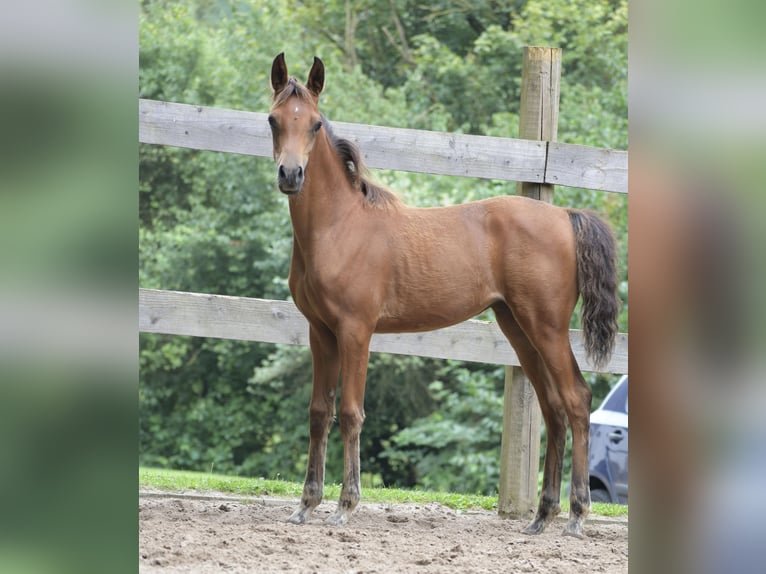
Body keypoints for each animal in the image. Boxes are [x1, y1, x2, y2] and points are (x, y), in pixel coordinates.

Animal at [268, 53, 620, 540]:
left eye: (316, 124)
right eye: (274, 120)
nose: (290, 175)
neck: (339, 227)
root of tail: (566, 216)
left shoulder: (356, 331)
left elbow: (352, 412)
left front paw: (346, 505)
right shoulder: (320, 331)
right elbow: (320, 411)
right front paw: (306, 504)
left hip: (546, 326)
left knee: (577, 399)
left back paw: (576, 515)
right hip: (518, 327)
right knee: (553, 409)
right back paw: (542, 515)